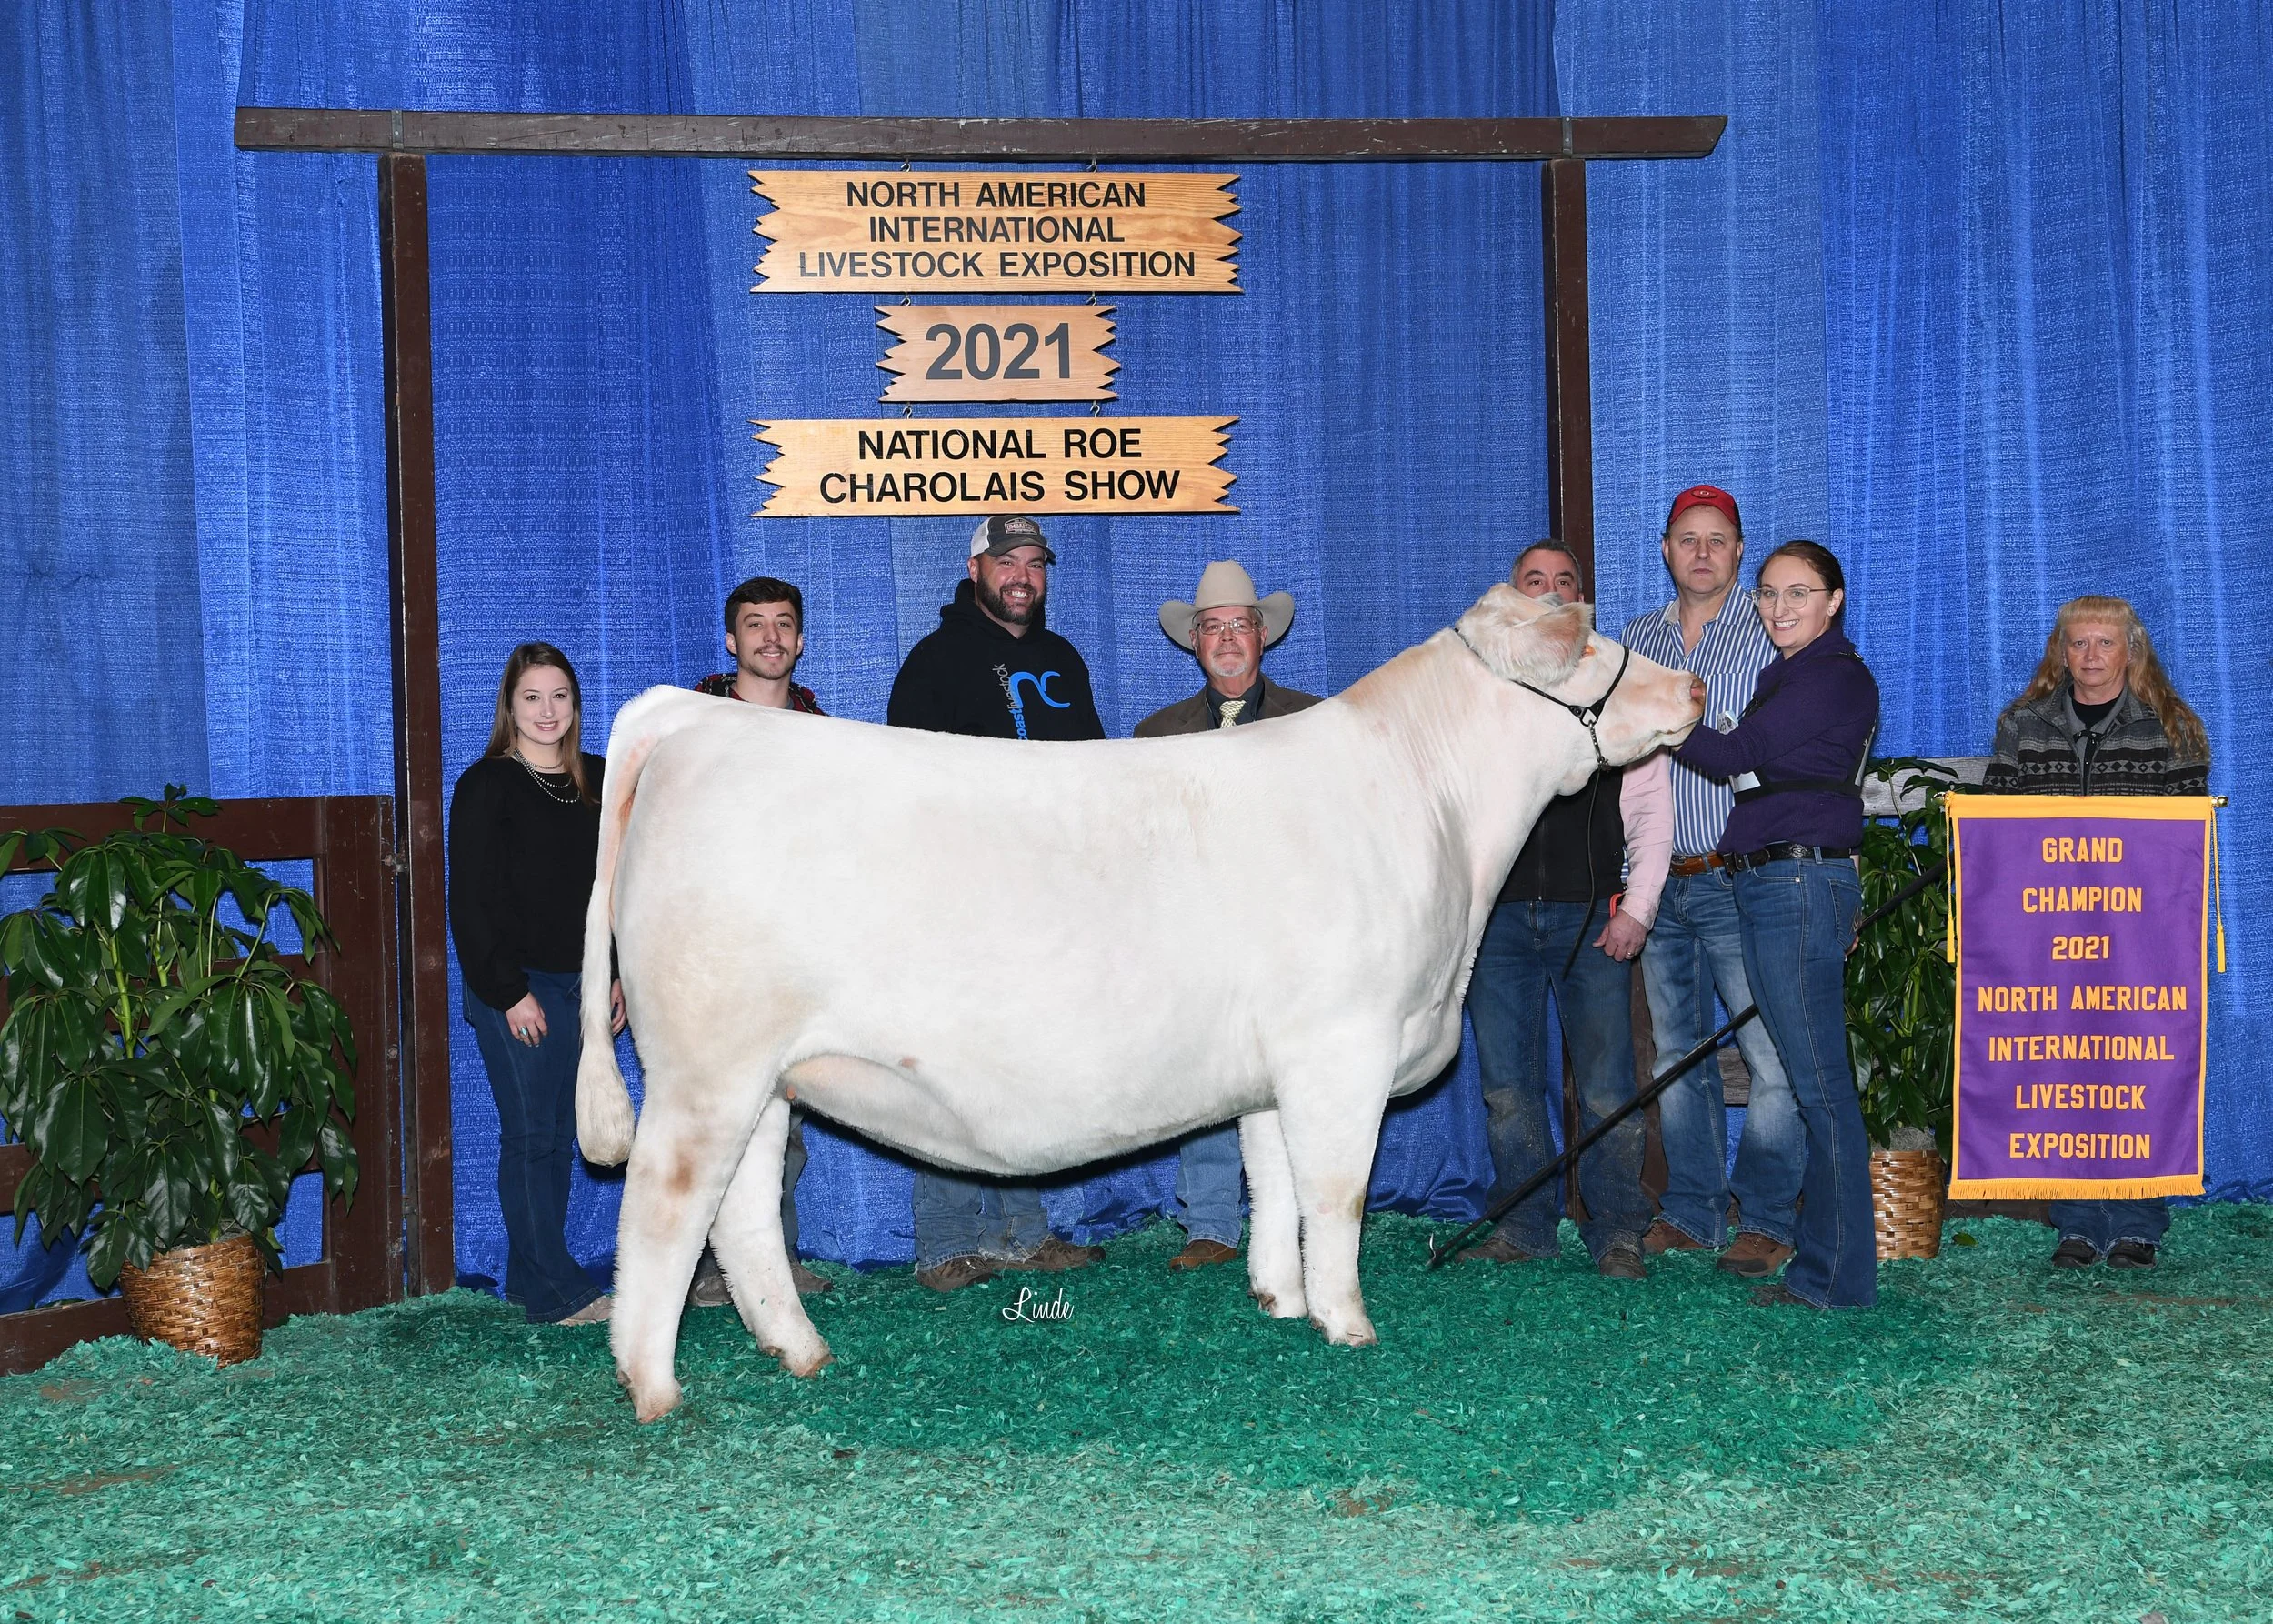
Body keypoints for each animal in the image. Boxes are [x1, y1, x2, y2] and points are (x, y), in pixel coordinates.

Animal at [576, 585, 1704, 1420]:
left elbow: (1272, 1180)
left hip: (768, 1077)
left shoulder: (1275, 1065)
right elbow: (1335, 1191)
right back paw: (655, 1385)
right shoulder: (1343, 1044)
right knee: (665, 1206)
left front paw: (1278, 1300)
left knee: (743, 1211)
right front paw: (1346, 1322)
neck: (1441, 819)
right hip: (707, 1067)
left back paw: (800, 1349)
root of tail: (695, 716)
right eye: (1589, 640)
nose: (1693, 682)